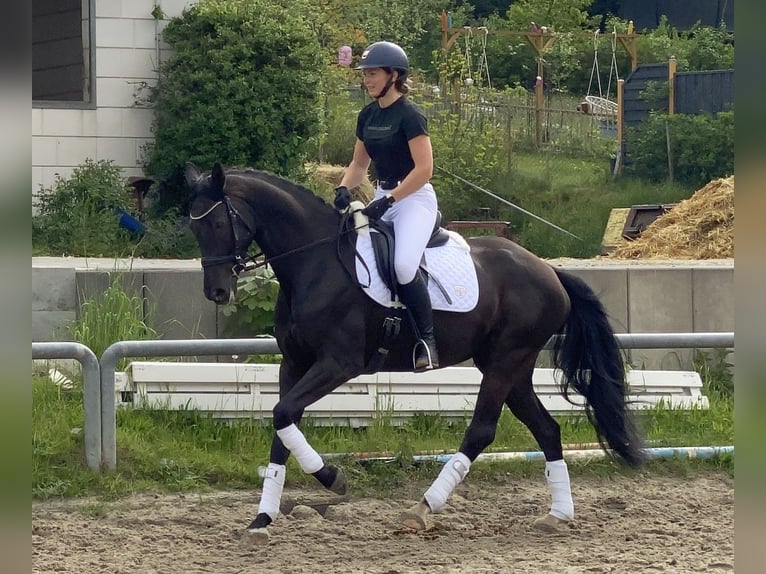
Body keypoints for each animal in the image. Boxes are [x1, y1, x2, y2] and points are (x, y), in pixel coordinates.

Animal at [185, 162, 645, 544]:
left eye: (220, 222)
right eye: (195, 229)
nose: (217, 292)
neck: (314, 263)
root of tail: (549, 269)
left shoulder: (338, 364)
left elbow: (283, 415)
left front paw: (333, 479)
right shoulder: (294, 363)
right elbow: (283, 425)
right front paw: (262, 520)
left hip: (505, 361)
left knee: (481, 431)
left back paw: (423, 508)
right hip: (510, 365)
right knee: (546, 429)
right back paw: (558, 515)